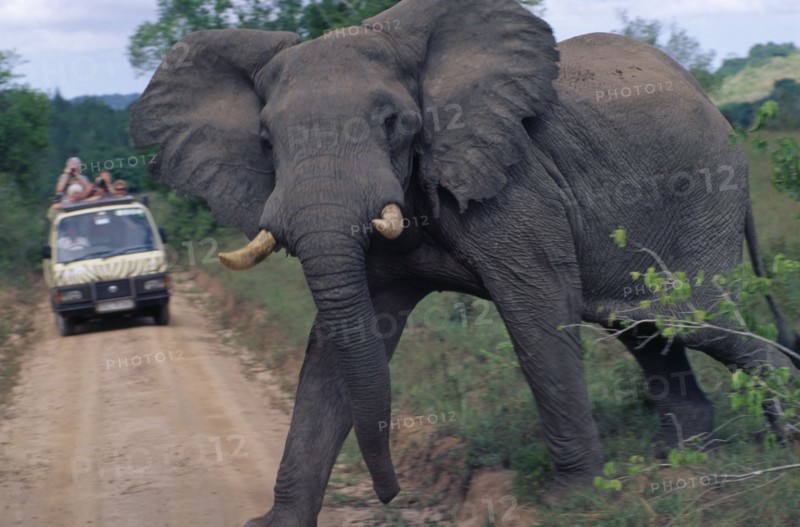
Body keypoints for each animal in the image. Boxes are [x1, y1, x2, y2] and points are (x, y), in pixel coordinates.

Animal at [130, 0, 800, 524]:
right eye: (267, 142)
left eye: (393, 122)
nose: (392, 494)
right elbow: (338, 344)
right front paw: (276, 522)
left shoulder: (517, 183)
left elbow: (536, 313)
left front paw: (571, 500)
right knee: (645, 330)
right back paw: (688, 463)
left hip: (703, 198)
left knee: (697, 320)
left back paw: (776, 439)